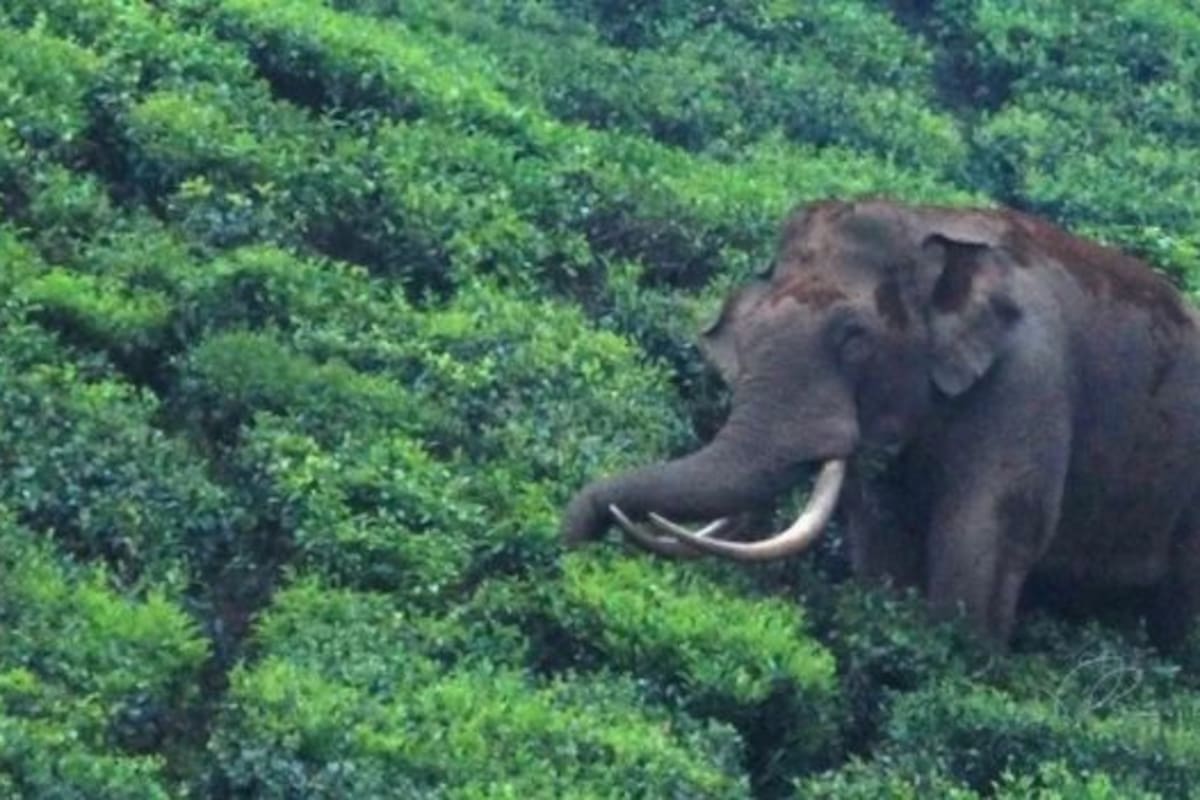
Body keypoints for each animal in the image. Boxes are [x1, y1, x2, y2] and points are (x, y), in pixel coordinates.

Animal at [562, 199, 1200, 647]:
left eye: (854, 338)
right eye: (744, 337)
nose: (572, 540)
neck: (928, 224)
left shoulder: (1029, 381)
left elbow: (987, 532)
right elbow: (883, 536)